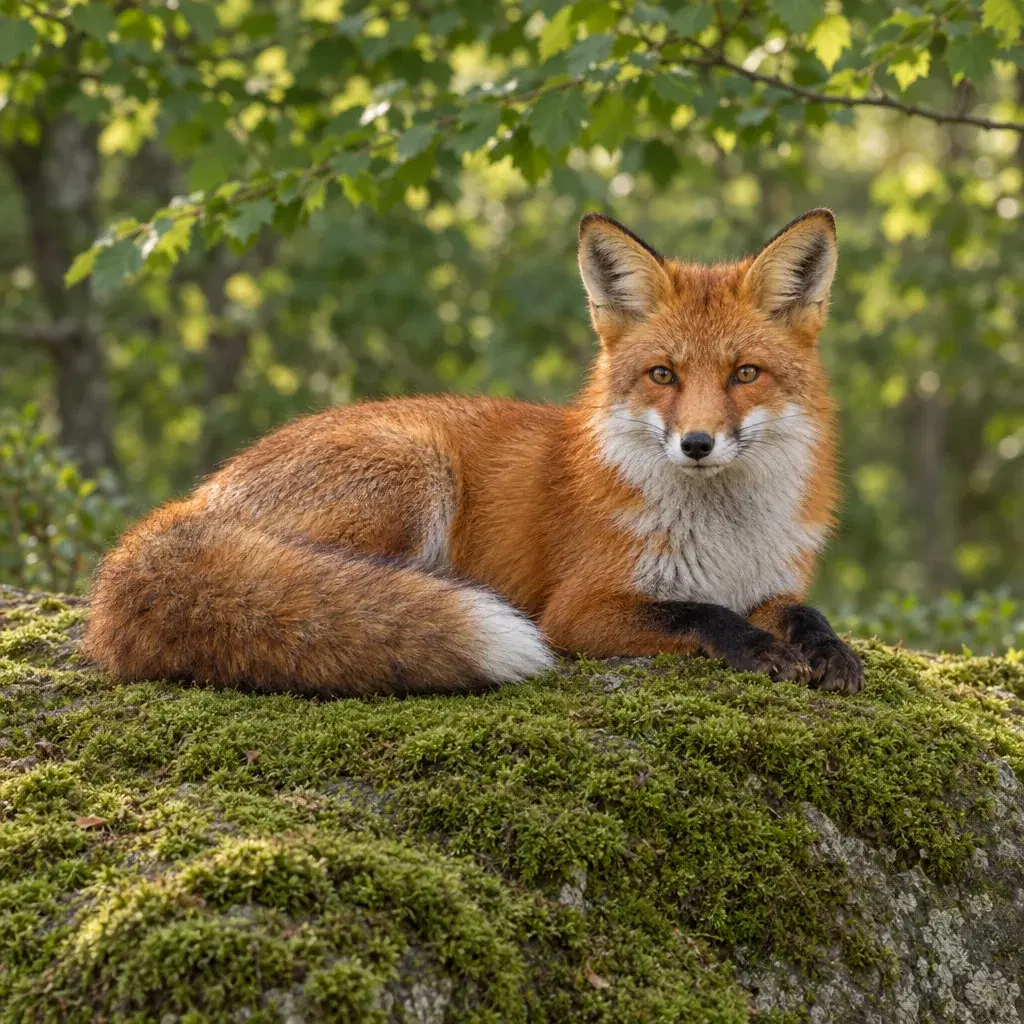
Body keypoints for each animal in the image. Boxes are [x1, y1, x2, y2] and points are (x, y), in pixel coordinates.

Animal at [84, 209, 863, 697]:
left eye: (745, 374)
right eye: (663, 375)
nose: (697, 444)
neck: (726, 534)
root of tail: (196, 498)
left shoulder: (767, 584)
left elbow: (806, 613)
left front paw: (830, 652)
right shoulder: (581, 611)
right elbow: (700, 616)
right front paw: (759, 651)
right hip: (413, 475)